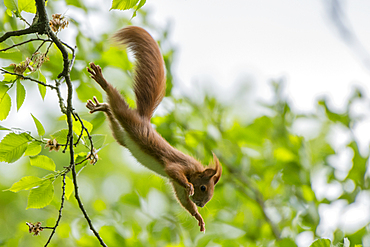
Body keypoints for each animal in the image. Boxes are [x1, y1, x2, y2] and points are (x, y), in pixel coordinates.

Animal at [85, 26, 221, 232]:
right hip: (130, 121)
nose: (202, 204)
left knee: (114, 121)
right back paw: (102, 81)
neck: (193, 172)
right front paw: (190, 188)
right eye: (204, 187)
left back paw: (103, 107)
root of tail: (143, 119)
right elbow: (174, 171)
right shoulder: (178, 167)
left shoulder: (176, 187)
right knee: (118, 105)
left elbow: (183, 200)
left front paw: (198, 216)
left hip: (123, 136)